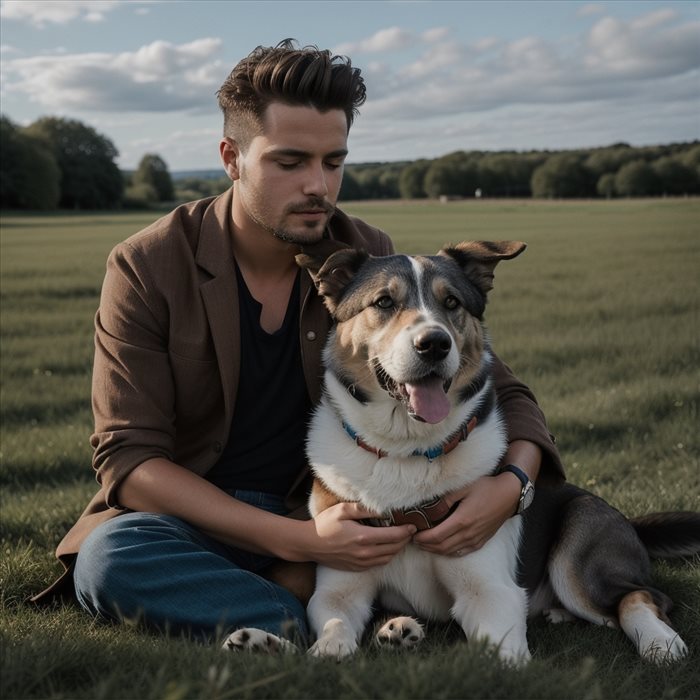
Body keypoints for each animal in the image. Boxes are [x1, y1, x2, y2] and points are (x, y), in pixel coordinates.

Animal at [226, 243, 700, 664]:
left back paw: (661, 642)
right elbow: (329, 636)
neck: (406, 451)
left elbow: (501, 657)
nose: (434, 343)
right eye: (383, 302)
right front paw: (290, 647)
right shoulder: (340, 587)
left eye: (451, 301)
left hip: (579, 547)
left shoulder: (489, 592)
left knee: (641, 596)